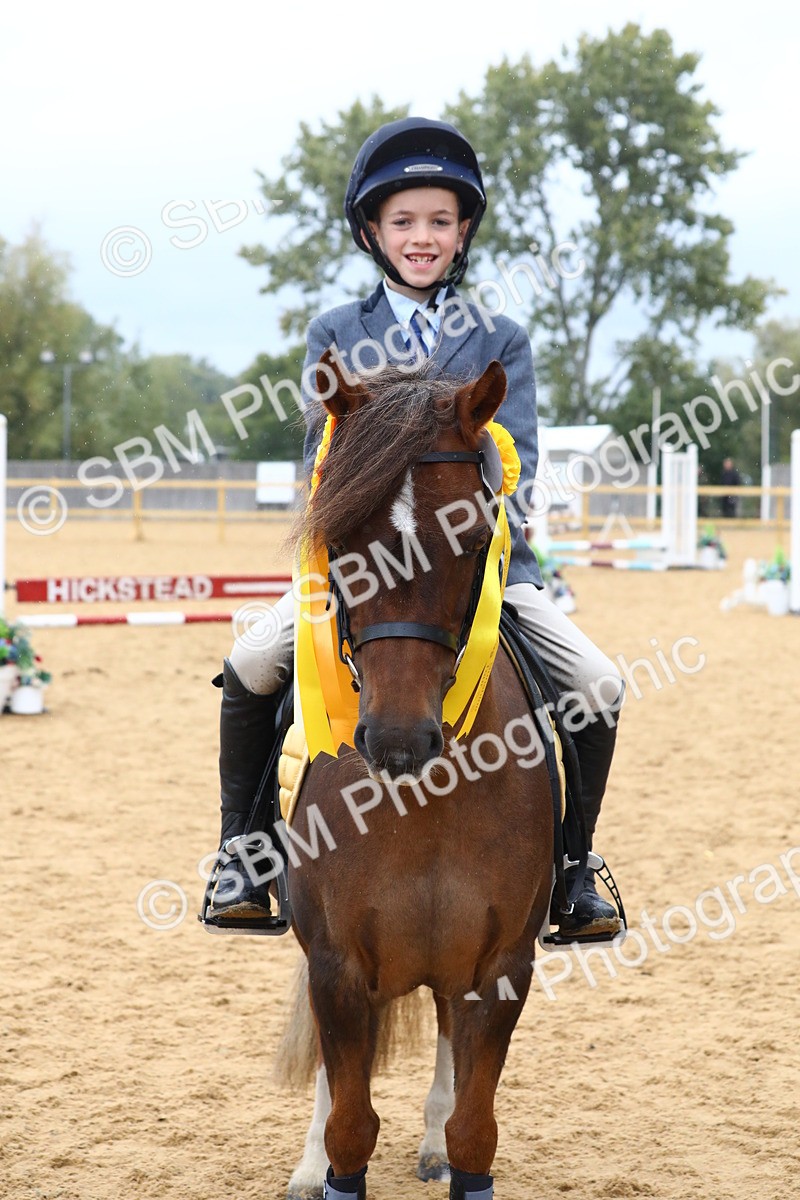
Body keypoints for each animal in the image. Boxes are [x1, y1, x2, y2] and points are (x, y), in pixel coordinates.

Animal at [280, 353, 555, 1200]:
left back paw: (428, 1140)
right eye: (339, 539)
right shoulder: (336, 967)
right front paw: (323, 1163)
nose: (399, 741)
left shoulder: (499, 967)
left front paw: (448, 1144)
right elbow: (349, 1125)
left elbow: (475, 1130)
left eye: (471, 535)